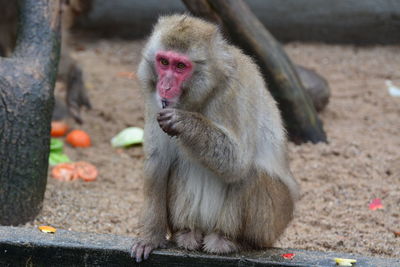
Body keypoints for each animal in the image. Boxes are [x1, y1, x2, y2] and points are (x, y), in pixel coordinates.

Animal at [132, 14, 300, 264]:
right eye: (163, 62)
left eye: (180, 66)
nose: (165, 85)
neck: (204, 93)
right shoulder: (155, 101)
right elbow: (158, 162)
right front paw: (150, 237)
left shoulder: (233, 93)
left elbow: (237, 162)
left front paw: (185, 123)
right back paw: (187, 233)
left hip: (273, 222)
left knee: (251, 173)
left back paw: (232, 240)